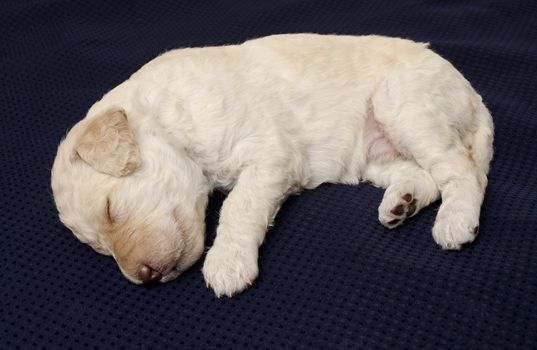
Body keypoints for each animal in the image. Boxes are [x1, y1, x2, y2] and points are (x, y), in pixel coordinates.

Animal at [52, 32, 492, 296]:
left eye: (110, 209)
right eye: (99, 249)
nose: (145, 277)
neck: (167, 114)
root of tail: (472, 93)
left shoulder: (269, 153)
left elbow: (238, 206)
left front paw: (227, 264)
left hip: (405, 104)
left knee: (463, 170)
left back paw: (455, 222)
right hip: (377, 152)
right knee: (426, 175)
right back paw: (402, 203)